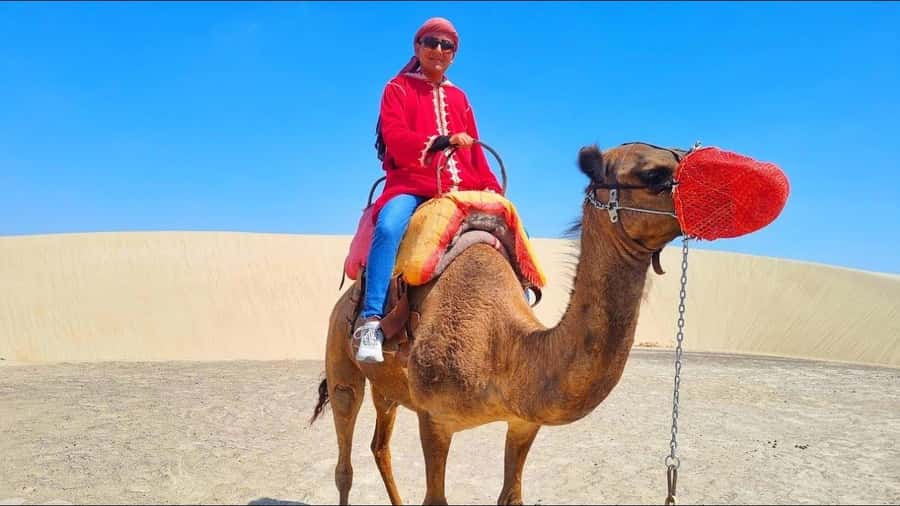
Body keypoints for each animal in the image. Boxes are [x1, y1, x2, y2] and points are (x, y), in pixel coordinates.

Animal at [311, 141, 687, 505]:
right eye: (653, 174)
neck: (503, 346)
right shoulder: (434, 419)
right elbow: (435, 498)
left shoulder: (525, 422)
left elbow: (512, 495)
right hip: (342, 363)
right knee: (344, 462)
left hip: (388, 388)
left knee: (380, 446)